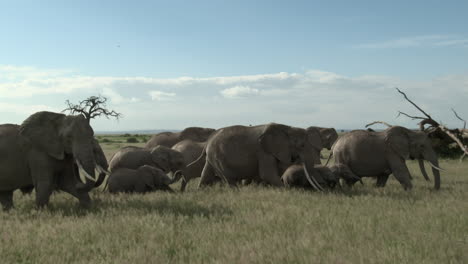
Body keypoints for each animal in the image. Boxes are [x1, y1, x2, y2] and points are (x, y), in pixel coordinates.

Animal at [194, 122, 336, 189]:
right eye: (301, 145)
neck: (287, 128)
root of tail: (208, 142)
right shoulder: (263, 151)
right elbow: (267, 174)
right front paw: (287, 189)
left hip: (212, 157)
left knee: (206, 173)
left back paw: (200, 191)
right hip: (219, 158)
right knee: (229, 178)